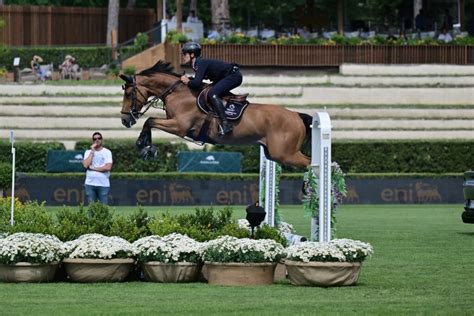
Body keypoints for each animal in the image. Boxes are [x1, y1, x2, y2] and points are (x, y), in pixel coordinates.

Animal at [119, 59, 312, 168]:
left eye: (128, 94)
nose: (125, 120)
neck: (177, 93)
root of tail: (296, 115)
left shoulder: (179, 126)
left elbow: (150, 121)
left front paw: (144, 147)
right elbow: (150, 122)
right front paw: (147, 148)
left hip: (285, 154)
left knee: (312, 165)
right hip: (275, 154)